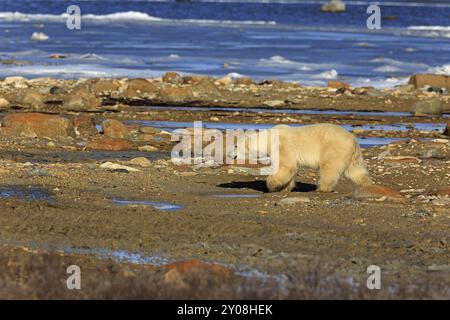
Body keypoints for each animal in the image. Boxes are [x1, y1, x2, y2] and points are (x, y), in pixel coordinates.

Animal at [236, 122, 372, 192]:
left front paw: (271, 185)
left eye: (237, 146)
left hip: (333, 148)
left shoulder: (282, 145)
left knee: (329, 168)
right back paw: (366, 184)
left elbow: (286, 166)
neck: (268, 137)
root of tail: (353, 139)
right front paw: (285, 187)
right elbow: (289, 169)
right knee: (356, 171)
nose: (233, 155)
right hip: (351, 155)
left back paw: (322, 188)